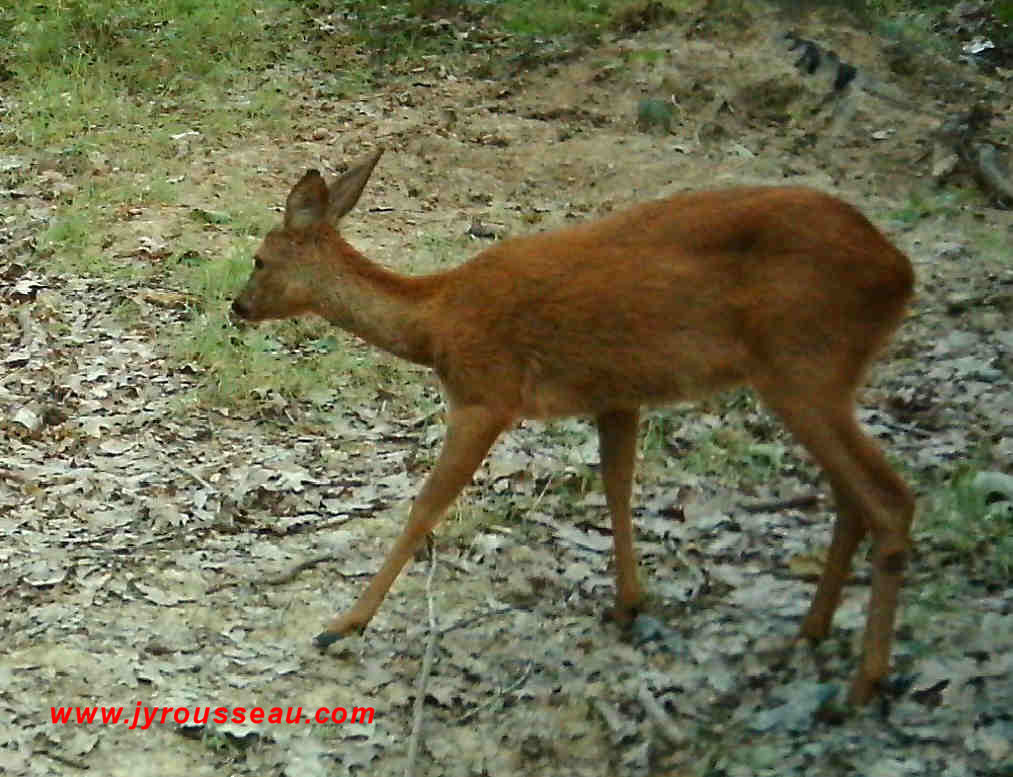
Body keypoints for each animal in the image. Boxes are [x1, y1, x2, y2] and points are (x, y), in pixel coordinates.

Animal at [231, 148, 919, 709]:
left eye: (259, 259)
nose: (237, 306)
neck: (436, 321)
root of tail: (902, 272)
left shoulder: (487, 392)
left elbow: (426, 506)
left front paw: (344, 623)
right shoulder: (616, 394)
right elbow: (617, 487)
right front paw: (629, 603)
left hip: (803, 364)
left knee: (890, 498)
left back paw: (863, 683)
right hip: (814, 377)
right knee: (852, 497)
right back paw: (812, 631)